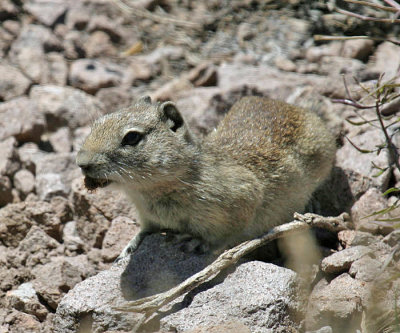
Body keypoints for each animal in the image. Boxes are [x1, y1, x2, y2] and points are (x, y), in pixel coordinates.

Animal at [76, 94, 336, 258]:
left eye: (132, 137)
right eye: (97, 123)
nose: (81, 163)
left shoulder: (243, 198)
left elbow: (227, 233)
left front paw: (198, 242)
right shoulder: (146, 215)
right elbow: (145, 229)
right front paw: (129, 247)